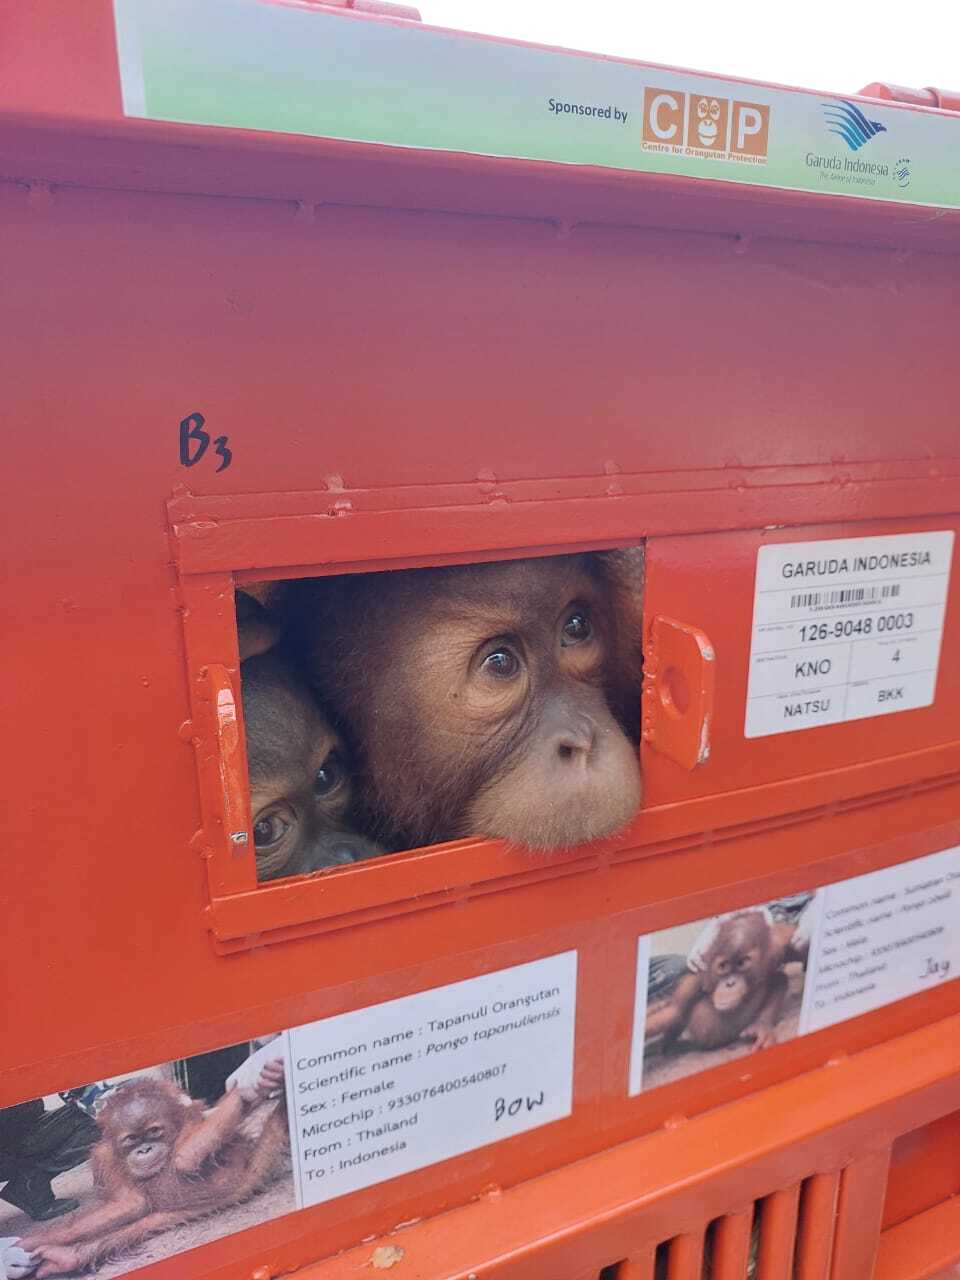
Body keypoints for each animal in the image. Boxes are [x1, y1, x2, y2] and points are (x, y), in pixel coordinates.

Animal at [19, 1068, 287, 1277]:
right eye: (131, 1139)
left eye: (154, 1132)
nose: (145, 1149)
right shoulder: (106, 1157)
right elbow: (129, 1204)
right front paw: (26, 1244)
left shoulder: (191, 1120)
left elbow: (186, 1157)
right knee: (145, 1222)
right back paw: (66, 1258)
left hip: (256, 1166)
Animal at [645, 912, 795, 1055]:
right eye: (723, 966)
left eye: (742, 963)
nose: (730, 983)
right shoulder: (699, 974)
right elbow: (674, 1010)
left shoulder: (778, 945)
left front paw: (761, 1027)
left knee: (776, 978)